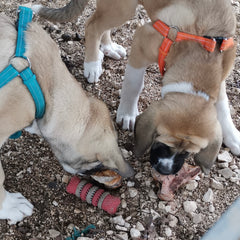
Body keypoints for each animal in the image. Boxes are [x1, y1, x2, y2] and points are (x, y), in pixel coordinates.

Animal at [32, 0, 240, 175]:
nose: (165, 171)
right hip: (123, 8)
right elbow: (134, 85)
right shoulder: (142, 42)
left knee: (101, 24)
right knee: (93, 25)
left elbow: (223, 107)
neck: (203, 57)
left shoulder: (220, 79)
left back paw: (108, 47)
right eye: (162, 141)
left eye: (187, 152)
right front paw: (127, 113)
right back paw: (92, 64)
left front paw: (233, 137)